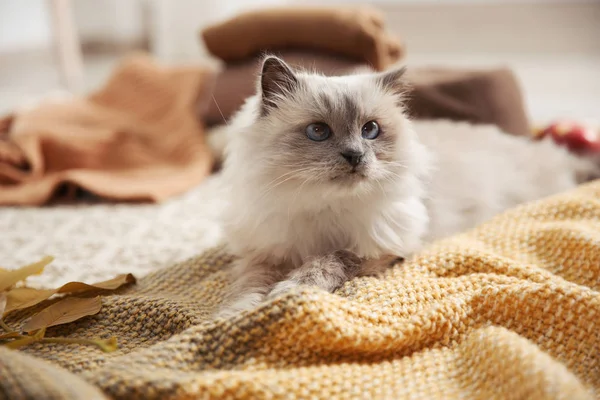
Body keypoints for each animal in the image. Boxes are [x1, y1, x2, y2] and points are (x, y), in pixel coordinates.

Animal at [213, 54, 596, 318]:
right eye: (318, 131)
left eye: (370, 130)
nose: (355, 156)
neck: (324, 208)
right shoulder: (265, 253)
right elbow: (248, 288)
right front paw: (236, 316)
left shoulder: (382, 250)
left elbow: (329, 260)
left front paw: (291, 289)